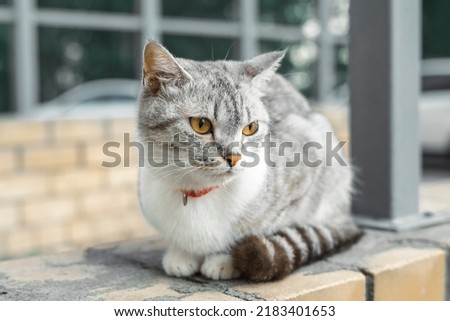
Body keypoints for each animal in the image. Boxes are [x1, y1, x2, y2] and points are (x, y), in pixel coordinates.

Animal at [135, 40, 360, 280]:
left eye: (250, 128)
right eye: (201, 124)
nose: (234, 156)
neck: (197, 191)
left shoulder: (307, 162)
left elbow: (264, 226)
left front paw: (224, 259)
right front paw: (181, 255)